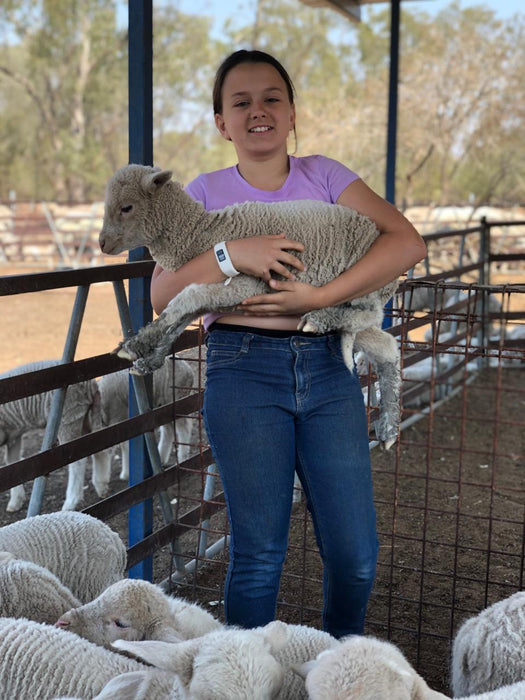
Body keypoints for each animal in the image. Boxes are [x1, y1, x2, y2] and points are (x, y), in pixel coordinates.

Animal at [0, 358, 111, 512]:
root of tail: (91, 385)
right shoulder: (14, 437)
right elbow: (13, 464)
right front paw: (16, 501)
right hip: (87, 415)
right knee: (99, 447)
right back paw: (102, 486)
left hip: (68, 416)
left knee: (78, 461)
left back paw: (71, 502)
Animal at [99, 164, 402, 448]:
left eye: (126, 207)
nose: (102, 243)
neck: (204, 235)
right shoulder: (219, 290)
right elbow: (183, 314)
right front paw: (147, 355)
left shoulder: (250, 284)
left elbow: (187, 297)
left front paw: (135, 345)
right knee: (386, 345)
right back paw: (389, 427)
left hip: (366, 284)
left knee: (369, 314)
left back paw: (318, 318)